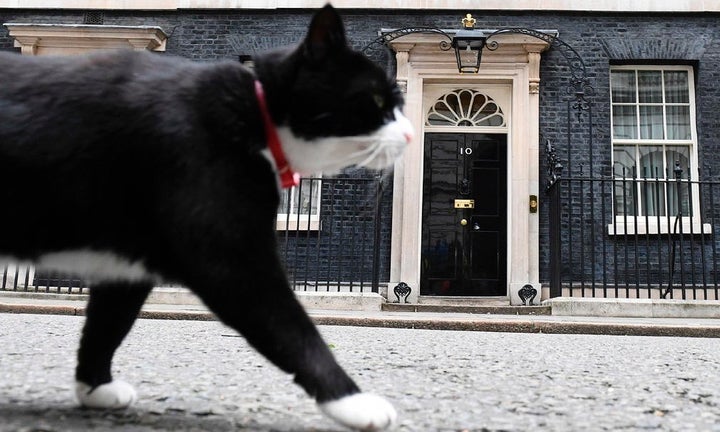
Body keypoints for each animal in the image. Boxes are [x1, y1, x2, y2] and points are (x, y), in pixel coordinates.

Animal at [0, 4, 414, 432]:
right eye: (377, 99)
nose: (411, 134)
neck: (256, 113)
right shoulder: (230, 257)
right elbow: (294, 330)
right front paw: (353, 400)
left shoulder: (130, 263)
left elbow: (108, 323)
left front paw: (94, 386)